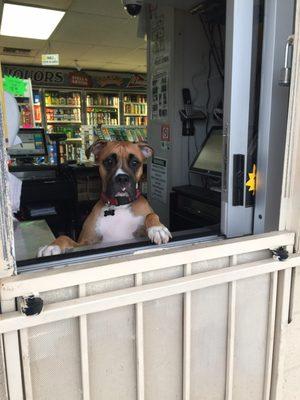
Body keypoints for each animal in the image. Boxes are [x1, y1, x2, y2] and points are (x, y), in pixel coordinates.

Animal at [38, 141, 171, 258]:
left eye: (134, 162)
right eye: (109, 161)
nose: (122, 178)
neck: (119, 205)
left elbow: (151, 215)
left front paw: (157, 229)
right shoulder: (84, 243)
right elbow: (64, 237)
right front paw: (52, 246)